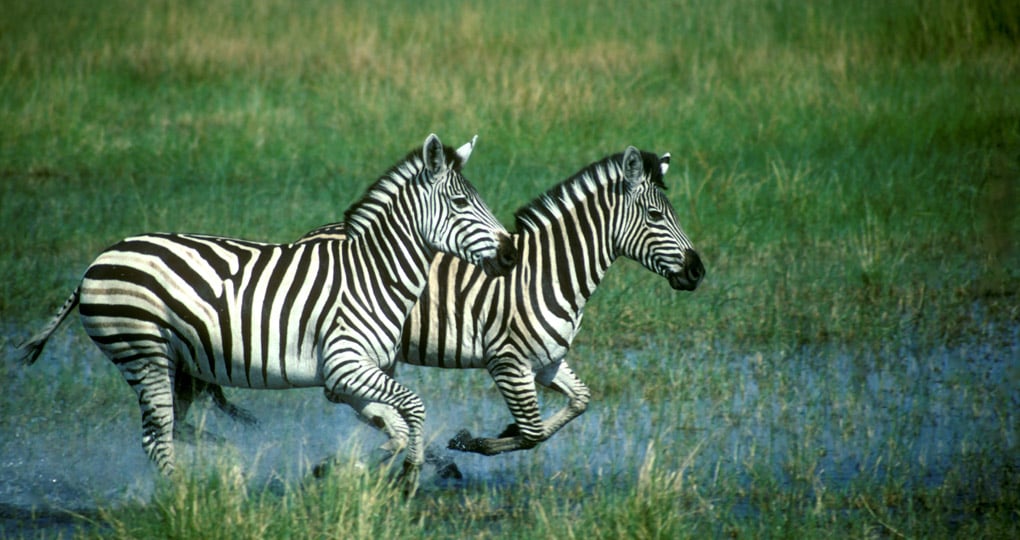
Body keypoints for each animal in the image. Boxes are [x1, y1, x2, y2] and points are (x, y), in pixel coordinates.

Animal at [17, 134, 517, 494]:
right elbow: (413, 409)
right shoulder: (346, 366)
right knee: (156, 438)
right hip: (142, 351)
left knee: (173, 430)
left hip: (178, 364)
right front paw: (408, 474)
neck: (373, 276)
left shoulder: (348, 379)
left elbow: (393, 427)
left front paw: (346, 469)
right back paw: (184, 497)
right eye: (460, 204)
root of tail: (96, 263)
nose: (511, 254)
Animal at [291, 145, 704, 459]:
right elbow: (533, 433)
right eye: (656, 215)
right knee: (339, 391)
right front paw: (474, 442)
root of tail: (307, 236)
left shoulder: (547, 361)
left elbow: (579, 401)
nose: (698, 271)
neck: (548, 272)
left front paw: (499, 432)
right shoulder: (508, 362)